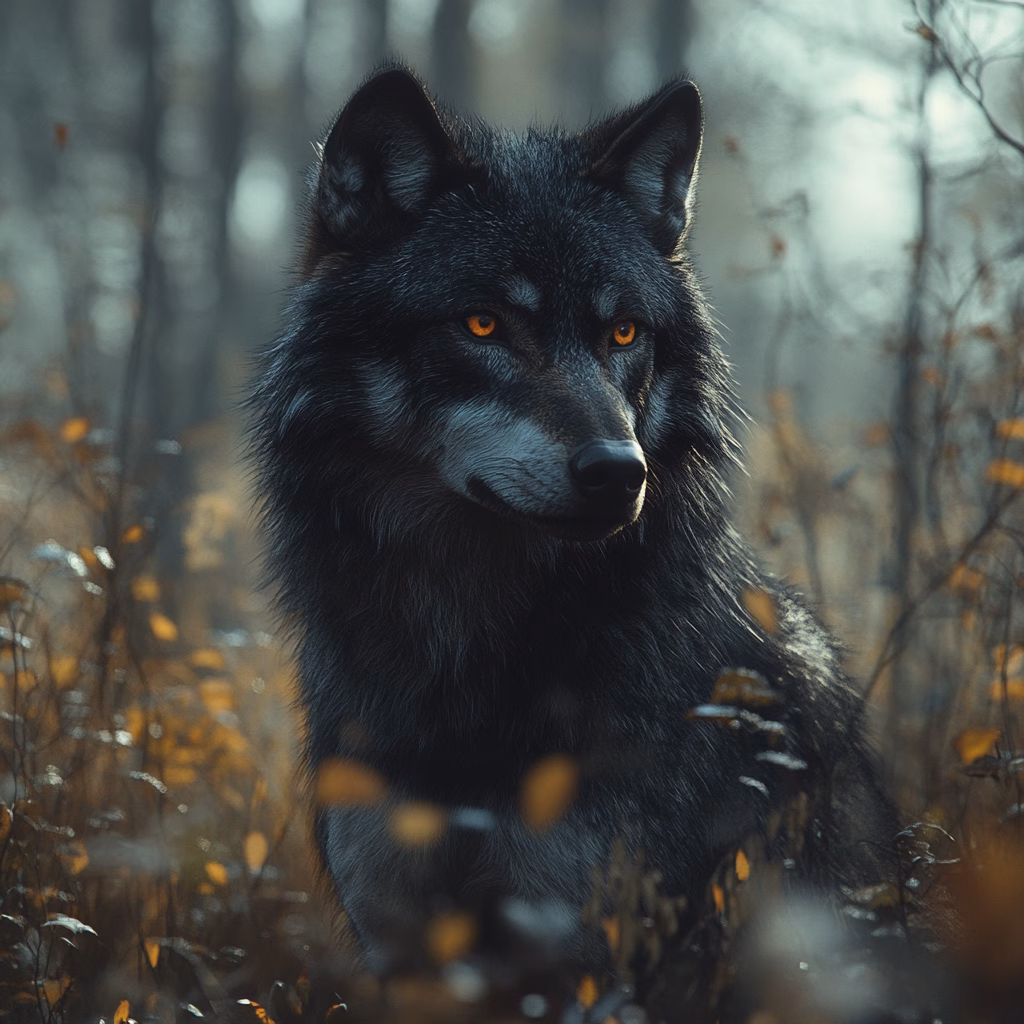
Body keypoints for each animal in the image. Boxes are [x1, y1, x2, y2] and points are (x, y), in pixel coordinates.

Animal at [248, 66, 896, 984]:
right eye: (483, 323)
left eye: (622, 330)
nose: (619, 472)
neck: (470, 654)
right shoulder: (407, 947)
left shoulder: (596, 951)